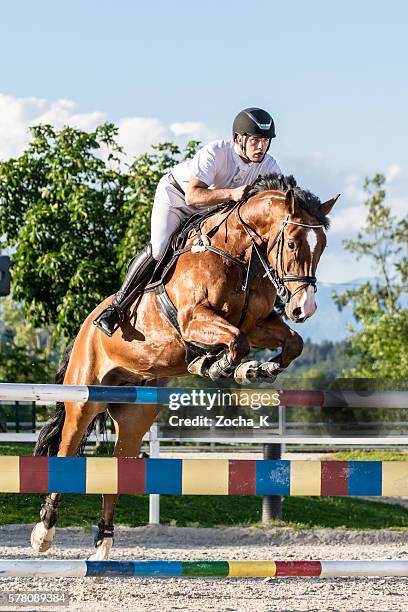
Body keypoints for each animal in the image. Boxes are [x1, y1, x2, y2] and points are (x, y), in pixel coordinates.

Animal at [31, 173, 338, 560]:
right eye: (295, 244)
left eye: (322, 246)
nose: (303, 309)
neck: (240, 257)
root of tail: (85, 325)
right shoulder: (194, 320)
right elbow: (237, 341)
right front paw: (218, 365)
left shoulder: (259, 324)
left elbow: (288, 342)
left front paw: (255, 370)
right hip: (84, 399)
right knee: (67, 450)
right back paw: (44, 531)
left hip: (134, 415)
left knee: (117, 464)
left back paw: (103, 544)